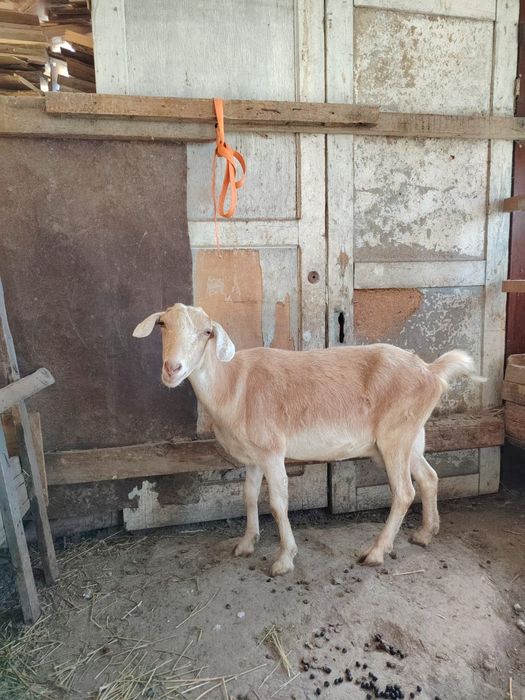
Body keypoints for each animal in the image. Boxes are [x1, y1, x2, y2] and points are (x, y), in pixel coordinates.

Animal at [133, 303, 483, 576]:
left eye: (207, 332)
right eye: (162, 324)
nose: (172, 368)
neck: (232, 385)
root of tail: (431, 371)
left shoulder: (272, 451)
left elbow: (277, 503)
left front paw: (284, 558)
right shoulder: (253, 457)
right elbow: (248, 496)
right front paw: (246, 543)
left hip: (394, 436)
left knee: (404, 492)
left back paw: (376, 552)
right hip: (409, 436)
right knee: (429, 477)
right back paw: (425, 533)